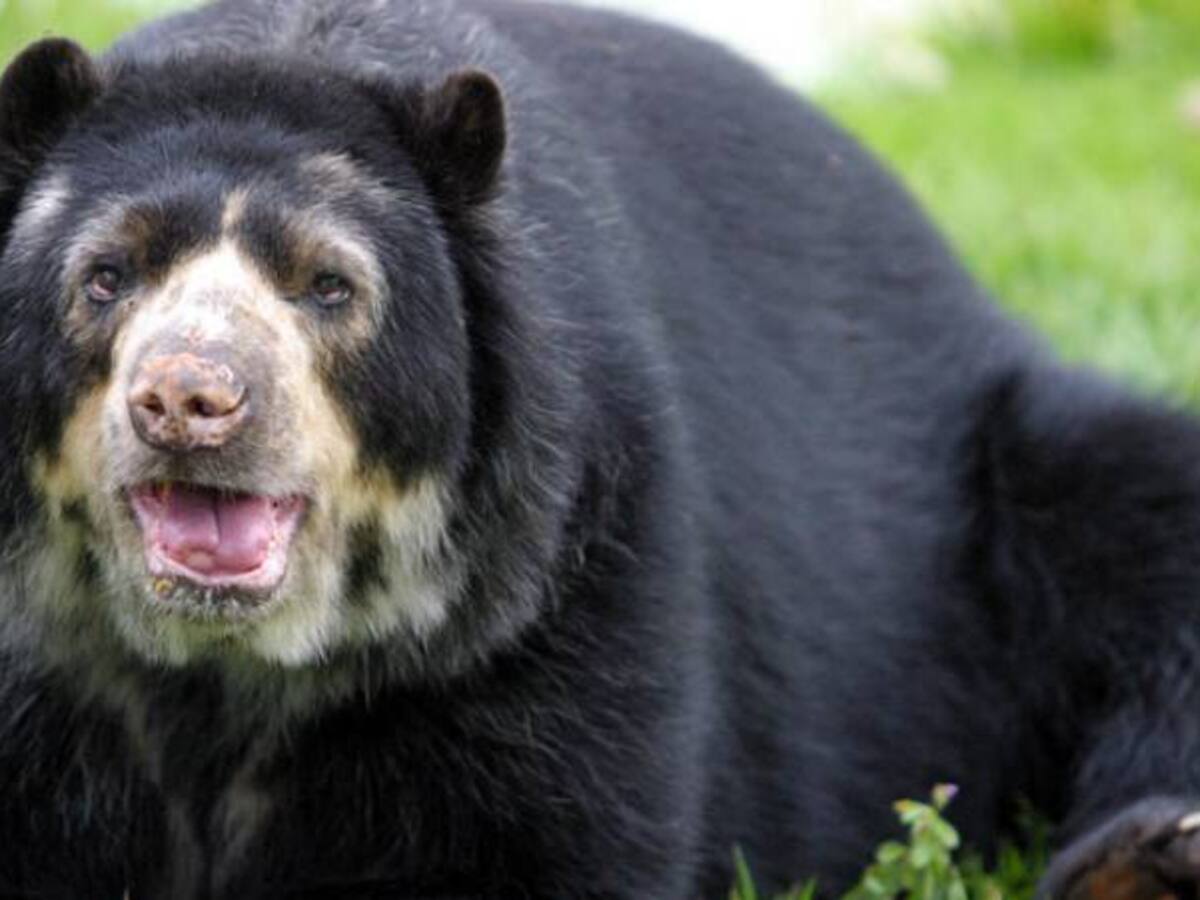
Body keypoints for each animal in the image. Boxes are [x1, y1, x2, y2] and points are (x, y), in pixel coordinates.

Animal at [1, 0, 1199, 897]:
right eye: (105, 276)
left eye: (328, 285)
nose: (188, 397)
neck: (224, 674)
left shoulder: (562, 588)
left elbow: (554, 835)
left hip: (1010, 477)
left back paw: (1146, 860)